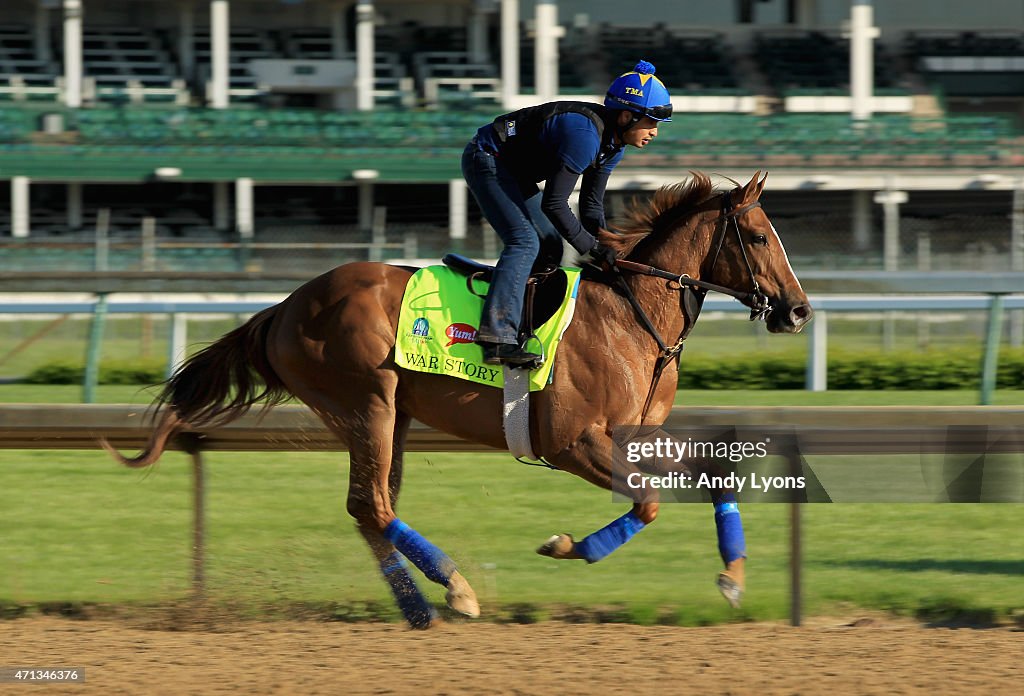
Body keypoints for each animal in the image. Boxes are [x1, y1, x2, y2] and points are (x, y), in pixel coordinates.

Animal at [103, 170, 806, 626]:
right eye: (759, 236)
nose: (798, 310)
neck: (631, 315)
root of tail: (284, 307)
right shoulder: (572, 441)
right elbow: (651, 502)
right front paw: (567, 546)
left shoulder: (634, 435)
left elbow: (713, 471)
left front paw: (733, 578)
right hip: (368, 404)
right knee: (371, 503)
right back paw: (457, 589)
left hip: (392, 419)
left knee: (371, 508)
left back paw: (419, 605)